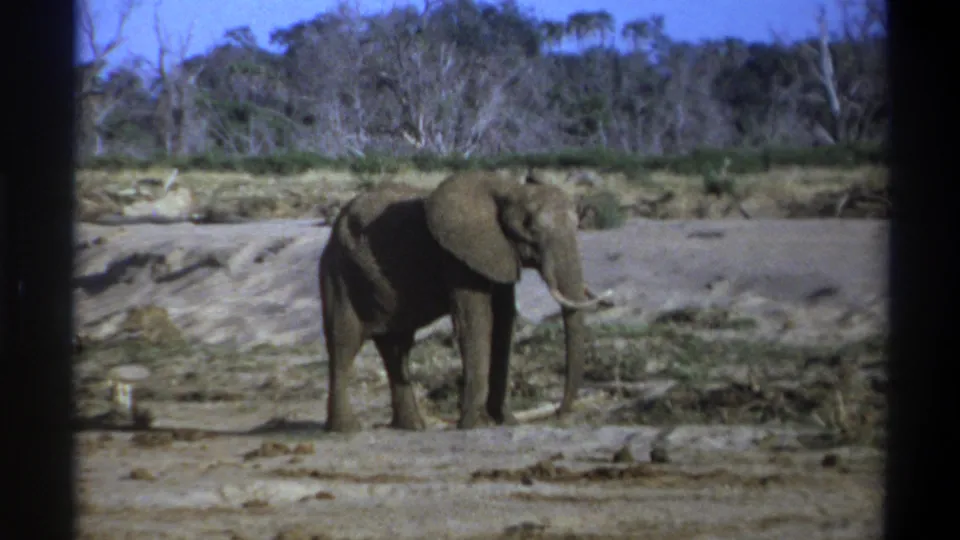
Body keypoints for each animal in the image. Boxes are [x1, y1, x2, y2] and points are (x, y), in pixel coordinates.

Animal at [317, 170, 609, 432]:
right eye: (531, 229)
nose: (558, 413)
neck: (508, 189)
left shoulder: (497, 254)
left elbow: (504, 322)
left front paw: (505, 421)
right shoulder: (459, 256)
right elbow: (477, 321)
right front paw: (474, 425)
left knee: (396, 347)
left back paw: (412, 427)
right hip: (339, 274)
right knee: (344, 344)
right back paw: (346, 430)